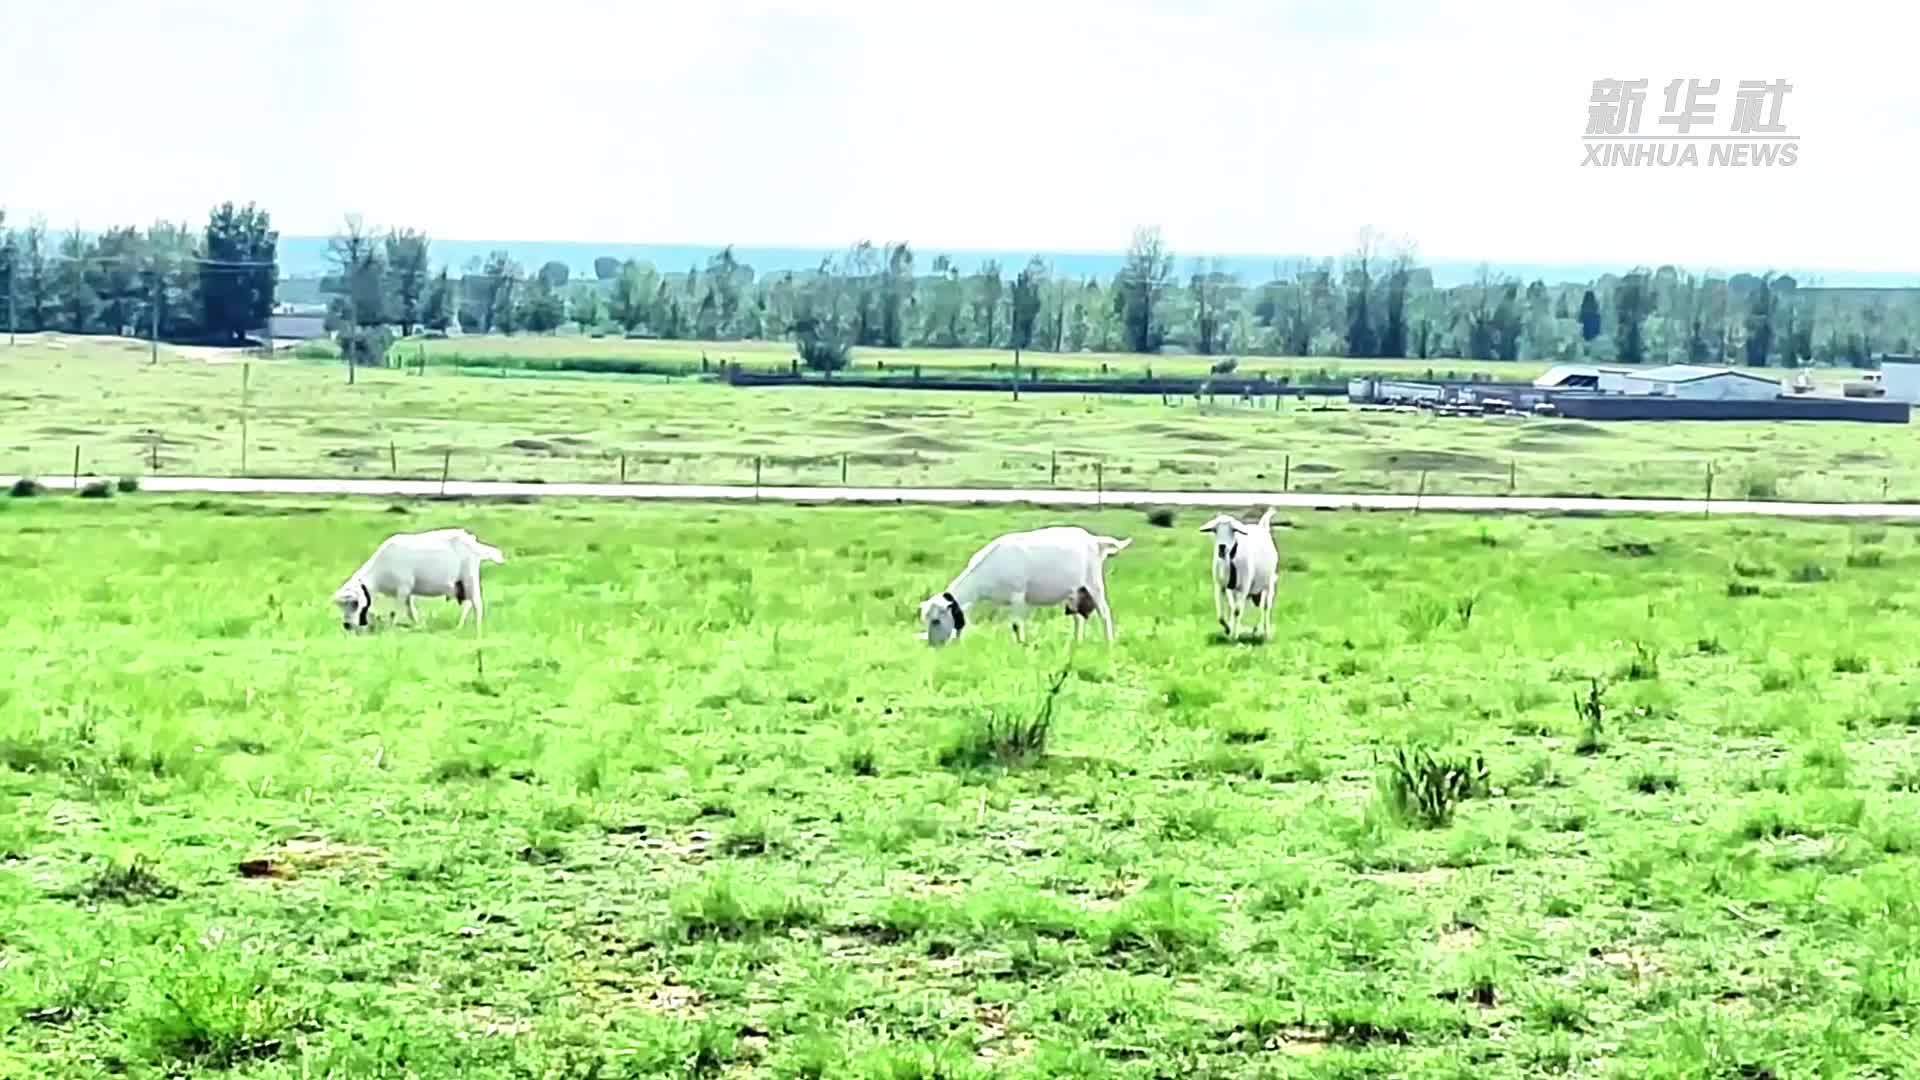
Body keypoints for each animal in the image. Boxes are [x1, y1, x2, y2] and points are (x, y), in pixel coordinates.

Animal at [334, 522, 506, 630]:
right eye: (342, 606)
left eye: (355, 603)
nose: (347, 626)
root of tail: (473, 541)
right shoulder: (407, 592)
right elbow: (410, 611)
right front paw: (418, 625)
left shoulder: (403, 588)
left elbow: (396, 612)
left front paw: (392, 628)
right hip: (461, 585)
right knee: (468, 604)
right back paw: (460, 626)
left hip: (469, 577)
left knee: (477, 603)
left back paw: (475, 628)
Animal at [921, 522, 1128, 641]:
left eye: (936, 621)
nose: (933, 646)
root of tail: (1095, 540)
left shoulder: (1018, 595)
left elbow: (1016, 625)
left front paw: (1021, 645)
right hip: (1074, 592)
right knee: (1079, 619)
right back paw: (1076, 643)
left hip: (1094, 583)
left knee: (1104, 613)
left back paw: (1109, 644)